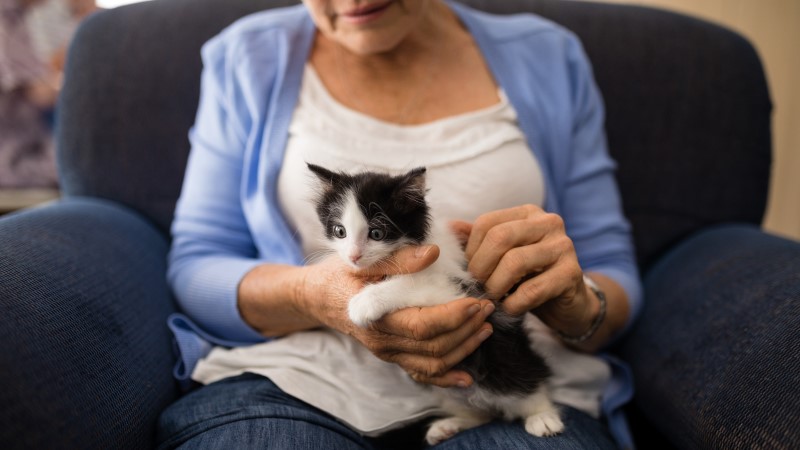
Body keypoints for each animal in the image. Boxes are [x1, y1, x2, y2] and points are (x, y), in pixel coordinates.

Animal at [306, 163, 564, 444]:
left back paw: (543, 418)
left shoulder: (465, 291)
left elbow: (415, 283)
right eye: (339, 231)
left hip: (506, 363)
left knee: (526, 384)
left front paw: (365, 302)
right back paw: (449, 425)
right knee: (483, 414)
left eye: (376, 233)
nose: (353, 256)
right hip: (447, 389)